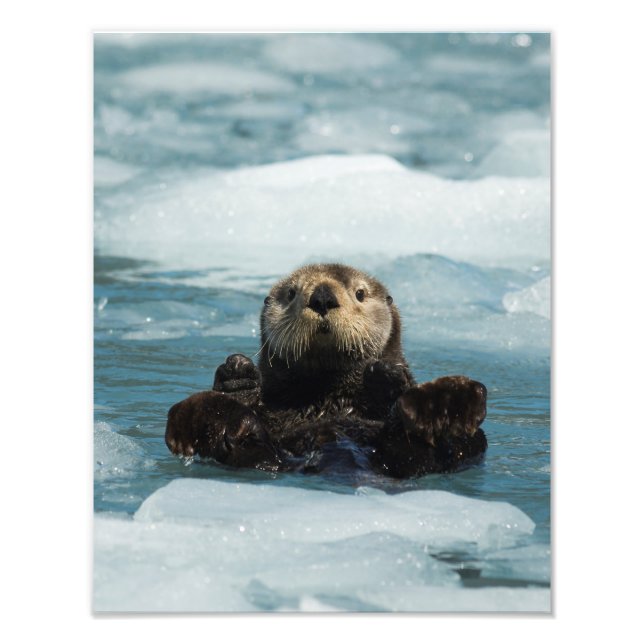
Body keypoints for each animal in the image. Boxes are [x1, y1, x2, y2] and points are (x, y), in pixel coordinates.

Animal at [165, 263, 487, 478]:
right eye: (291, 293)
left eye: (360, 293)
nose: (322, 297)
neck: (328, 400)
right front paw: (238, 376)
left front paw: (385, 375)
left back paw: (442, 405)